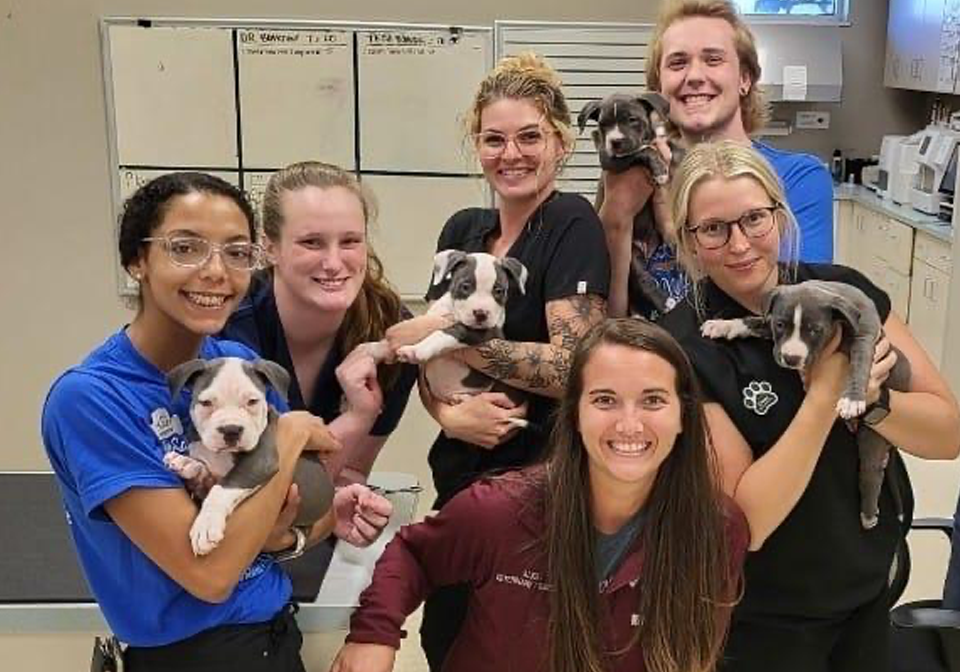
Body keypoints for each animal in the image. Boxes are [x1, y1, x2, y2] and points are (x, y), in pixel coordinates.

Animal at [169, 356, 338, 556]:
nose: (231, 430)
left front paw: (206, 525)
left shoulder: (260, 462)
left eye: (252, 401)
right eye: (206, 403)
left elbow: (222, 487)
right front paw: (186, 462)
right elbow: (203, 468)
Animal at [700, 280, 912, 532]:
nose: (792, 359)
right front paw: (724, 325)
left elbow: (859, 363)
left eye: (814, 330)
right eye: (781, 324)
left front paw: (852, 399)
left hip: (873, 437)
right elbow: (755, 320)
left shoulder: (865, 336)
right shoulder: (772, 327)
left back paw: (868, 515)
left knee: (871, 473)